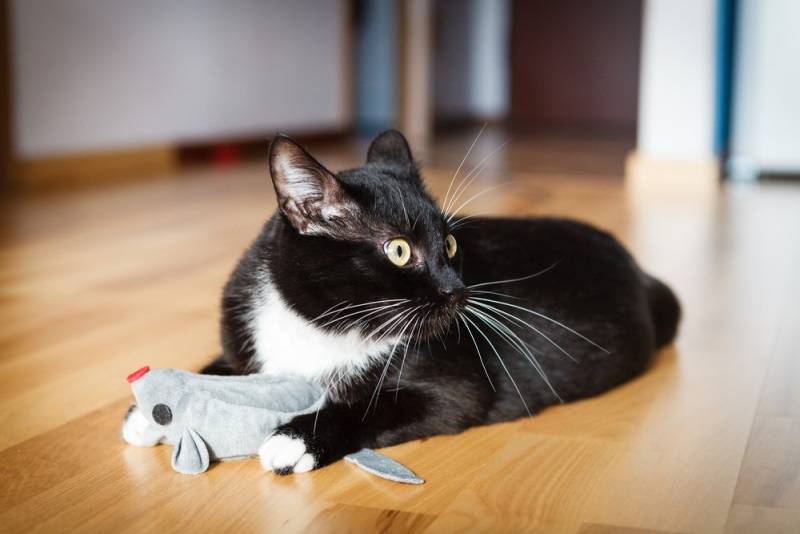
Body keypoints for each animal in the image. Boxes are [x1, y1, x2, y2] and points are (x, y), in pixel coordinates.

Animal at [198, 130, 676, 478]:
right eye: (398, 250)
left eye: (449, 244)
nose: (457, 290)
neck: (321, 326)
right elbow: (212, 372)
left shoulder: (455, 389)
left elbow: (377, 405)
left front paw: (298, 439)